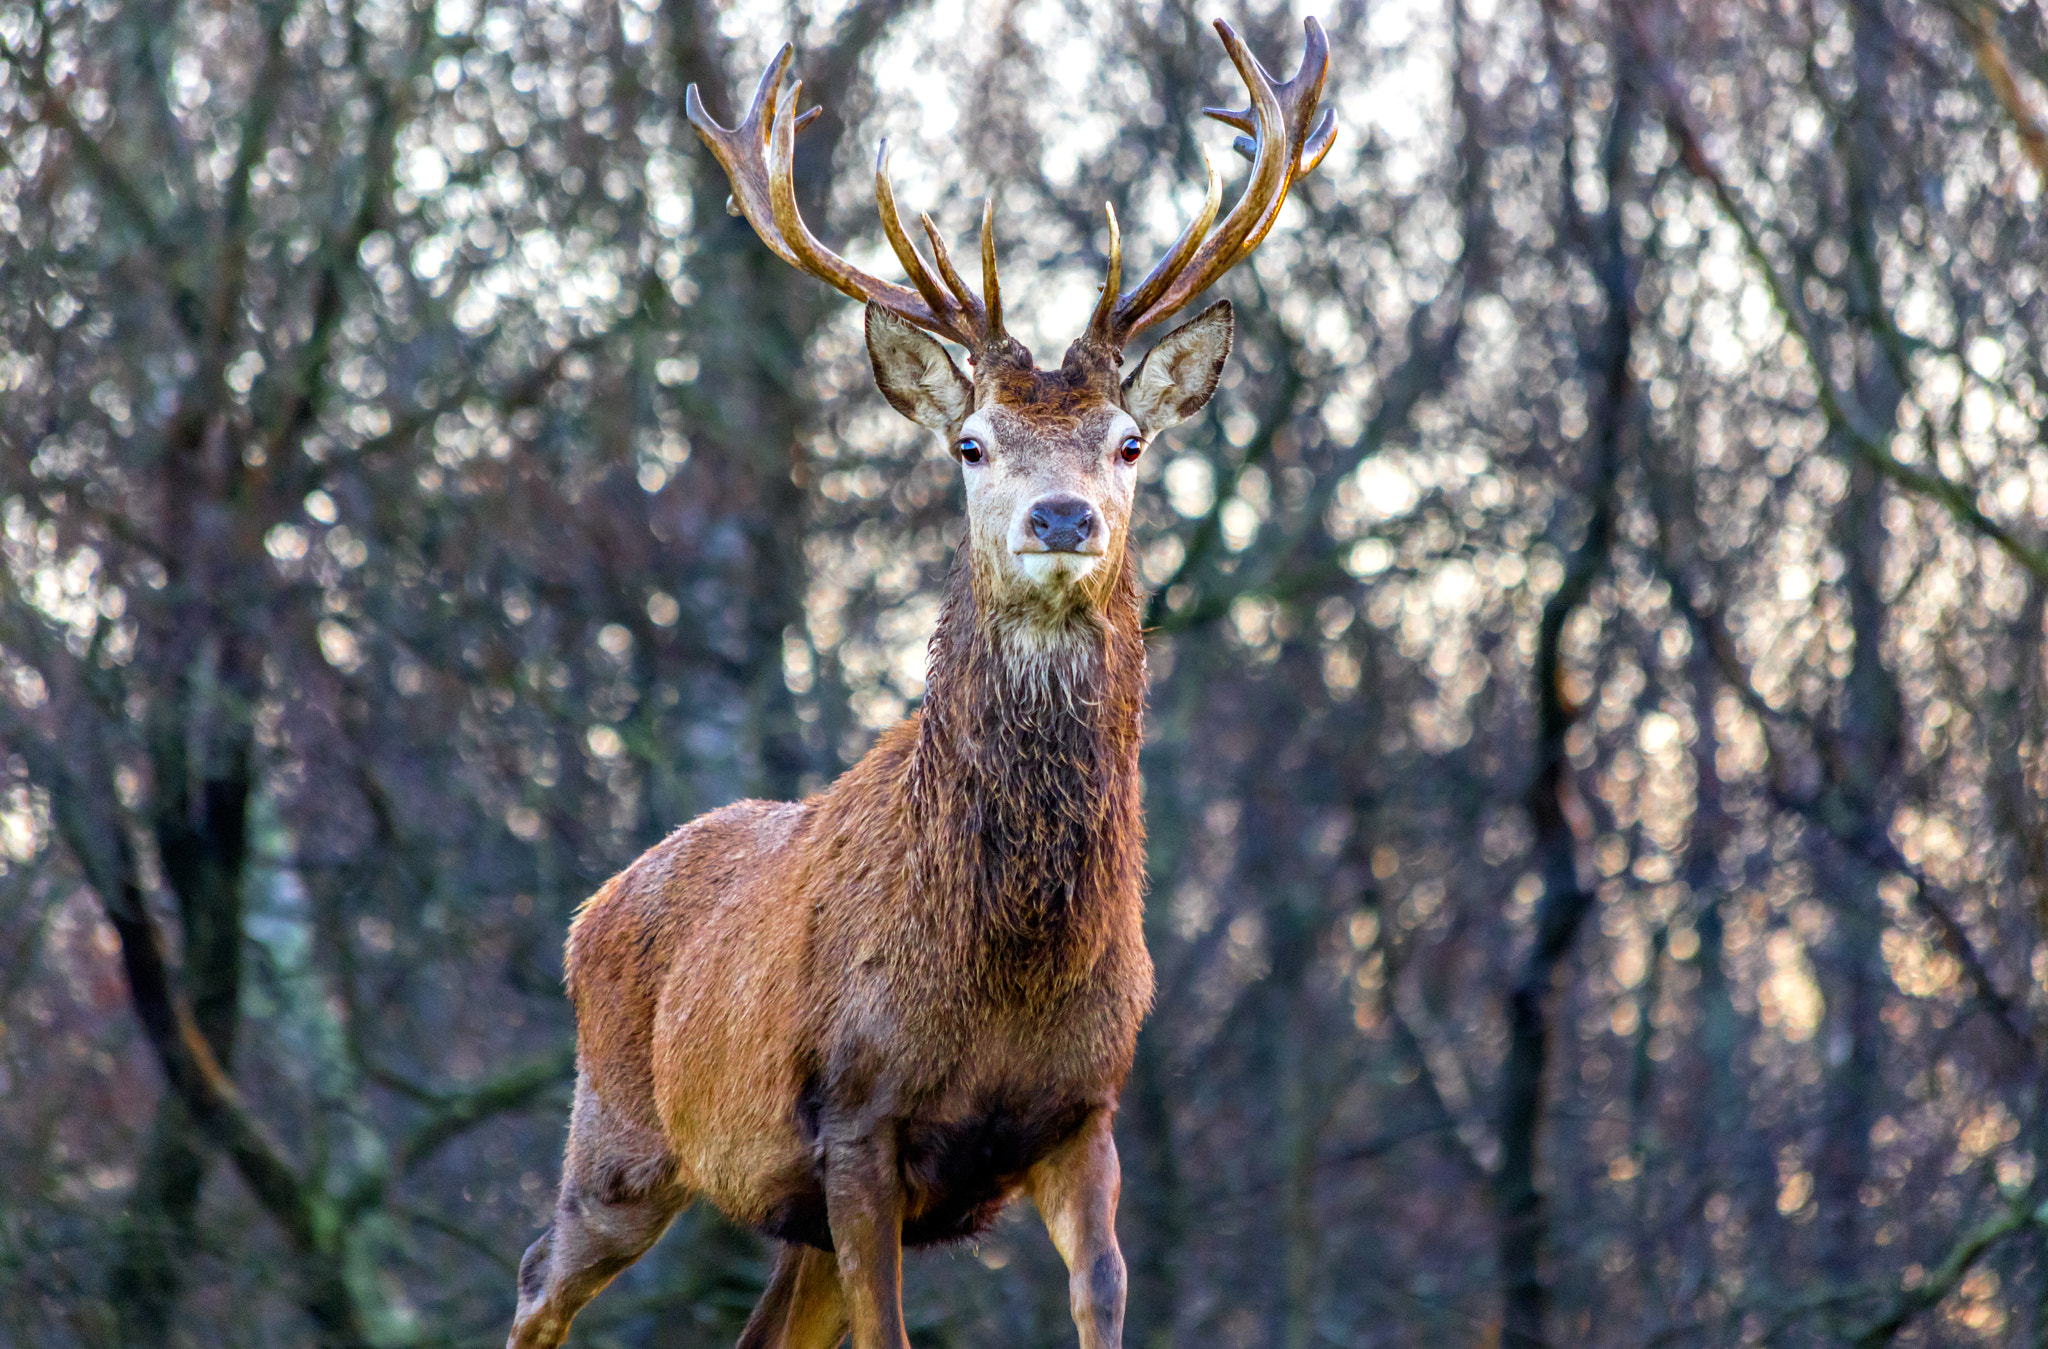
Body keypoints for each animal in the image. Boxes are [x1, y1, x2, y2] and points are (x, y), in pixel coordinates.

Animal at [508, 17, 1335, 1349]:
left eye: (1128, 441)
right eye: (970, 443)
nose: (1060, 516)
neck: (1004, 965)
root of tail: (591, 908)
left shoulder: (1082, 1113)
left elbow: (1105, 1294)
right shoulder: (857, 1116)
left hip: (773, 1217)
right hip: (623, 1131)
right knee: (539, 1275)